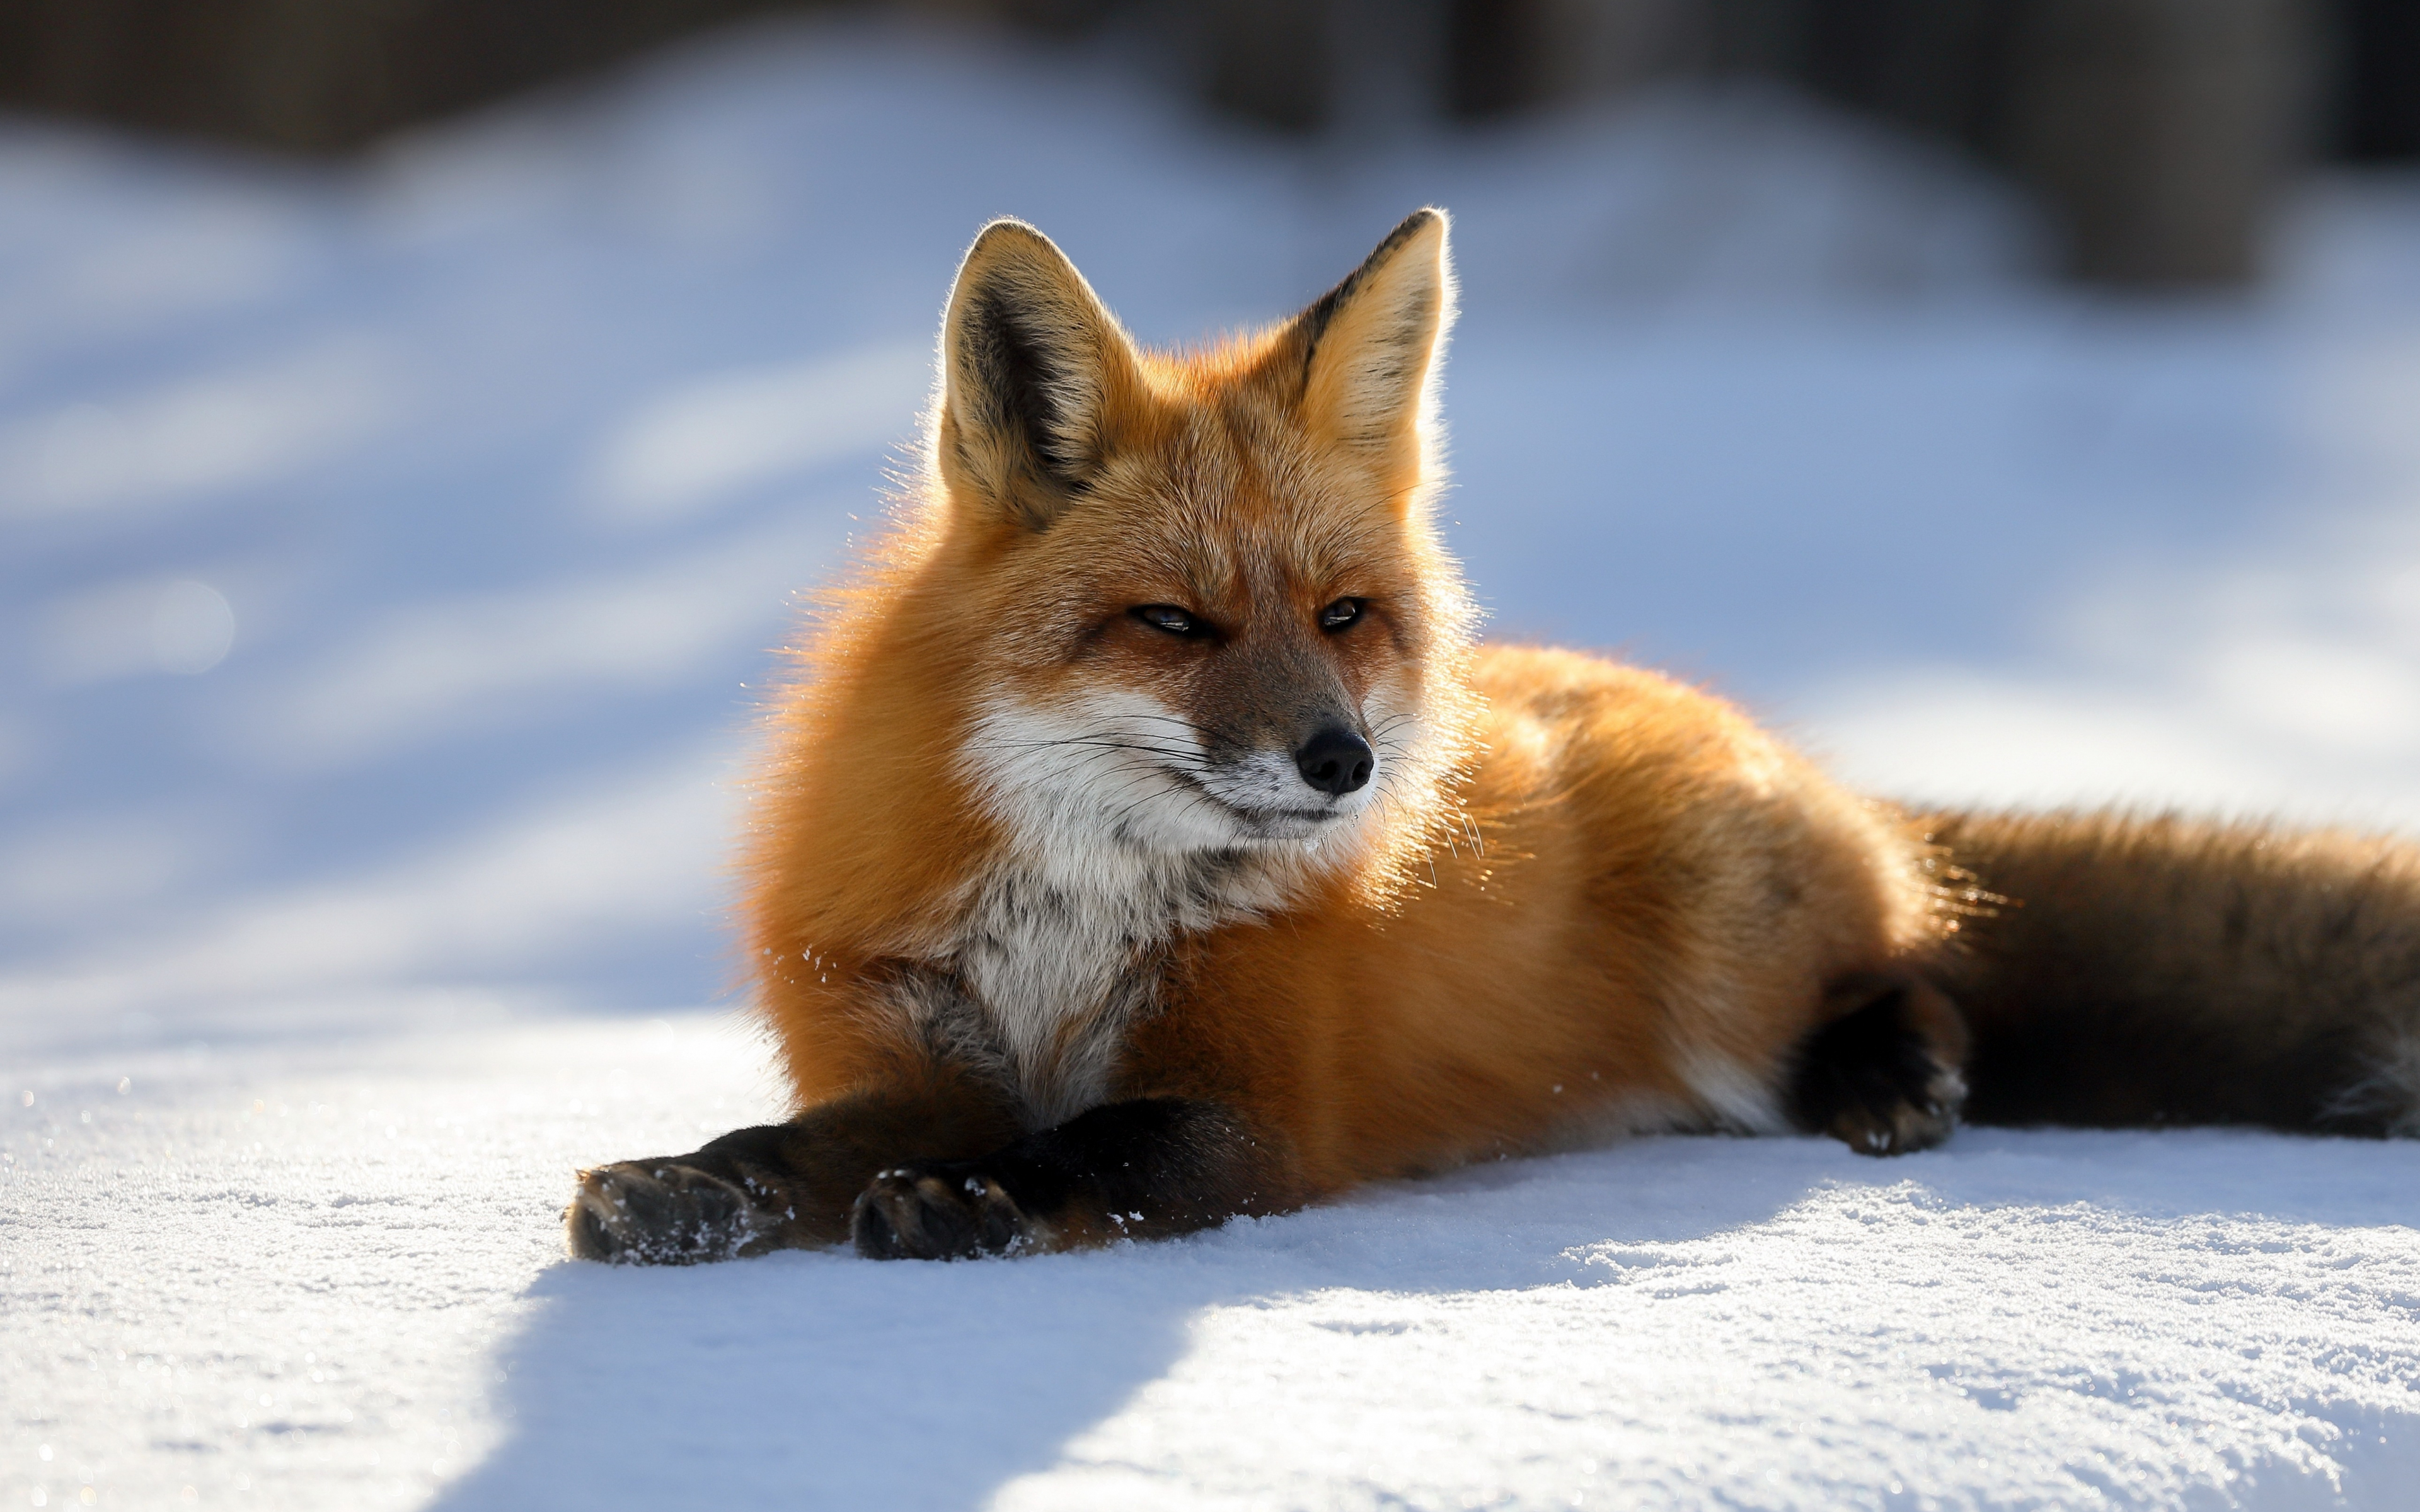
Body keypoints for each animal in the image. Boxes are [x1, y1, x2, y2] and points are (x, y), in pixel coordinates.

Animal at [567, 208, 2420, 1265]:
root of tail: (1827, 780)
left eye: (1341, 616)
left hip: (1733, 968)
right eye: (1172, 624)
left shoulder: (1253, 1104)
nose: (1344, 764)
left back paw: (1895, 1074)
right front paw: (688, 1183)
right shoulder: (905, 1056)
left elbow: (1094, 1145)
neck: (1069, 926)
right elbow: (789, 1145)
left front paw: (982, 1201)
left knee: (1927, 970)